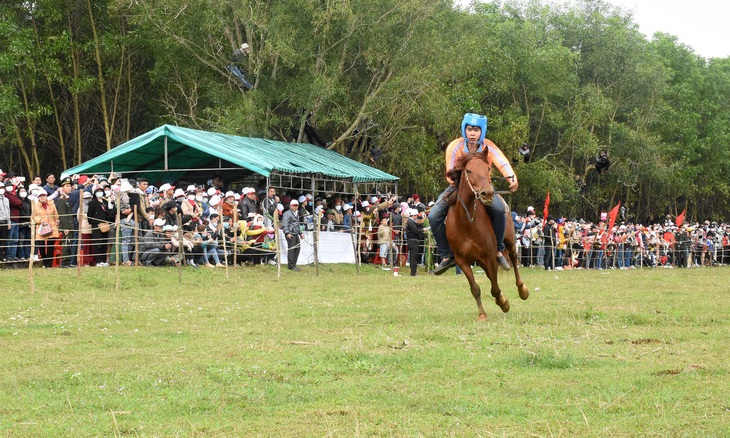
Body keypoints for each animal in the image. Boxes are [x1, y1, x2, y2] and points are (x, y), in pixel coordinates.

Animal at [440, 152, 528, 320]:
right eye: (468, 170)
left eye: (487, 168)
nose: (487, 193)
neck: (467, 221)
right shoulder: (462, 260)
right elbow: (475, 288)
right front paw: (482, 314)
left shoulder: (490, 257)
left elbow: (494, 288)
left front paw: (503, 303)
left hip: (510, 241)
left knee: (513, 259)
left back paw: (522, 290)